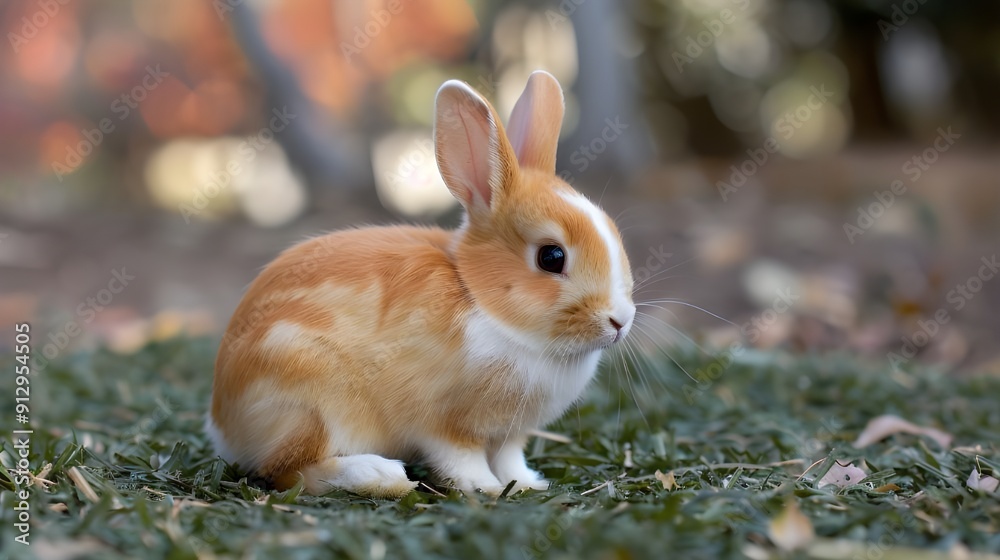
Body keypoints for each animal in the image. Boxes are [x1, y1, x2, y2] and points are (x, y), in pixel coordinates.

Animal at [206, 70, 636, 498]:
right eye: (551, 257)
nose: (620, 320)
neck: (478, 298)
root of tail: (223, 424)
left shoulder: (509, 435)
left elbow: (509, 459)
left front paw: (528, 484)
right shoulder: (442, 423)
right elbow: (461, 458)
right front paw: (485, 489)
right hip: (309, 403)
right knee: (287, 470)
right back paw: (381, 476)